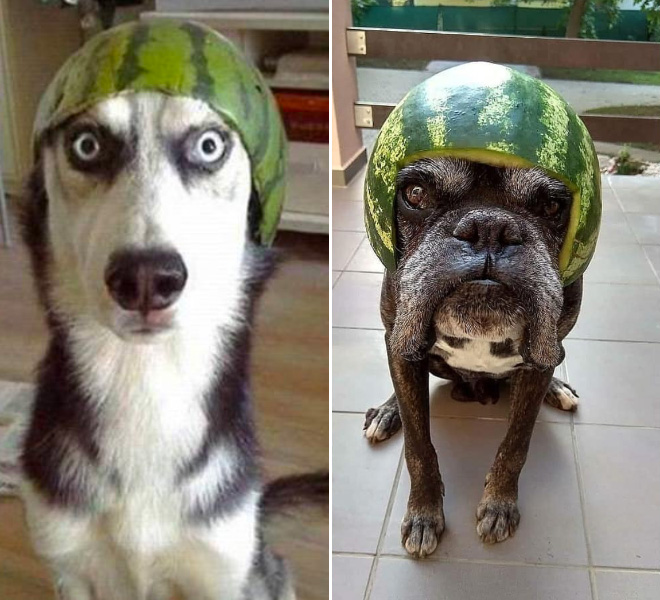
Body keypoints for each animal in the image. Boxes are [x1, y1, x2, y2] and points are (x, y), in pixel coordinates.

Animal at [16, 90, 324, 600]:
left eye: (208, 146)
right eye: (86, 145)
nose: (145, 278)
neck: (146, 381)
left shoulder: (216, 572)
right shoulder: (69, 565)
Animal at [364, 158, 580, 556]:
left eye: (550, 206)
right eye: (415, 194)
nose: (489, 227)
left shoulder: (539, 362)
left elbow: (516, 444)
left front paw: (499, 505)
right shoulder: (398, 340)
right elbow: (418, 445)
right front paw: (423, 514)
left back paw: (557, 388)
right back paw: (387, 412)